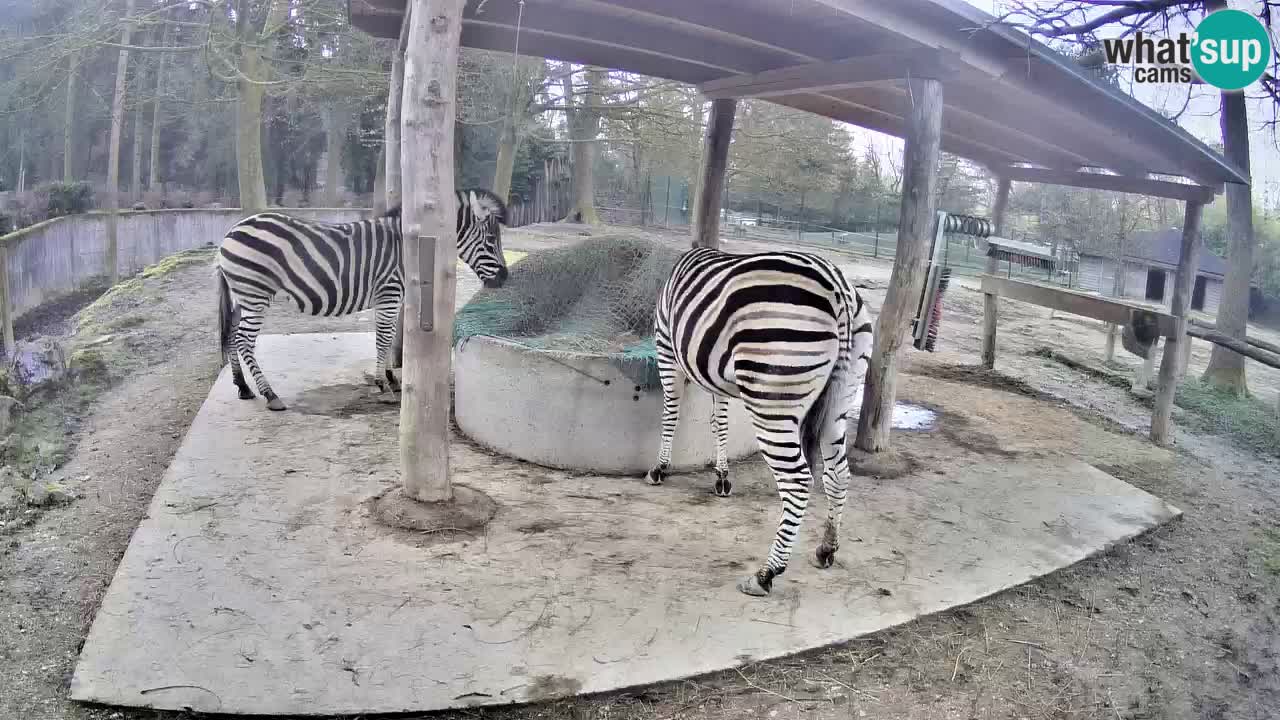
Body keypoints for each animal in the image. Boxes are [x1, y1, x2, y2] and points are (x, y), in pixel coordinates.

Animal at [214, 189, 508, 411]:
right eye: (491, 240)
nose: (504, 277)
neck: (409, 248)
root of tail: (230, 233)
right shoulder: (389, 293)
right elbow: (383, 339)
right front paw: (383, 385)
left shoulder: (393, 298)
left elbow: (388, 337)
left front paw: (390, 379)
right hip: (255, 294)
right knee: (244, 340)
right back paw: (270, 394)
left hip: (241, 296)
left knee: (230, 336)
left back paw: (243, 387)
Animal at [644, 247, 873, 597]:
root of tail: (838, 289)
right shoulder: (716, 378)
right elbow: (720, 422)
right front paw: (722, 477)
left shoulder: (666, 348)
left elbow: (671, 413)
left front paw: (659, 468)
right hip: (842, 395)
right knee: (838, 474)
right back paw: (826, 548)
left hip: (771, 398)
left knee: (798, 481)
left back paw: (767, 573)